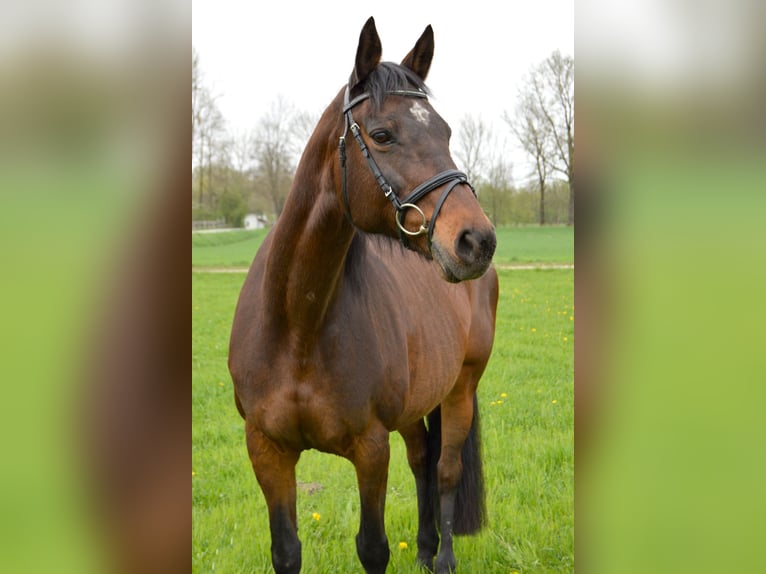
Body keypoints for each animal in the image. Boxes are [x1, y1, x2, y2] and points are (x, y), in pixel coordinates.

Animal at [228, 16, 500, 574]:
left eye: (445, 132)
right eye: (382, 135)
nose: (476, 240)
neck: (298, 324)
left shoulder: (371, 449)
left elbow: (373, 547)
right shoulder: (266, 451)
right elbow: (286, 551)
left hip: (461, 388)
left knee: (445, 470)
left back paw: (443, 559)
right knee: (422, 462)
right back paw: (424, 551)